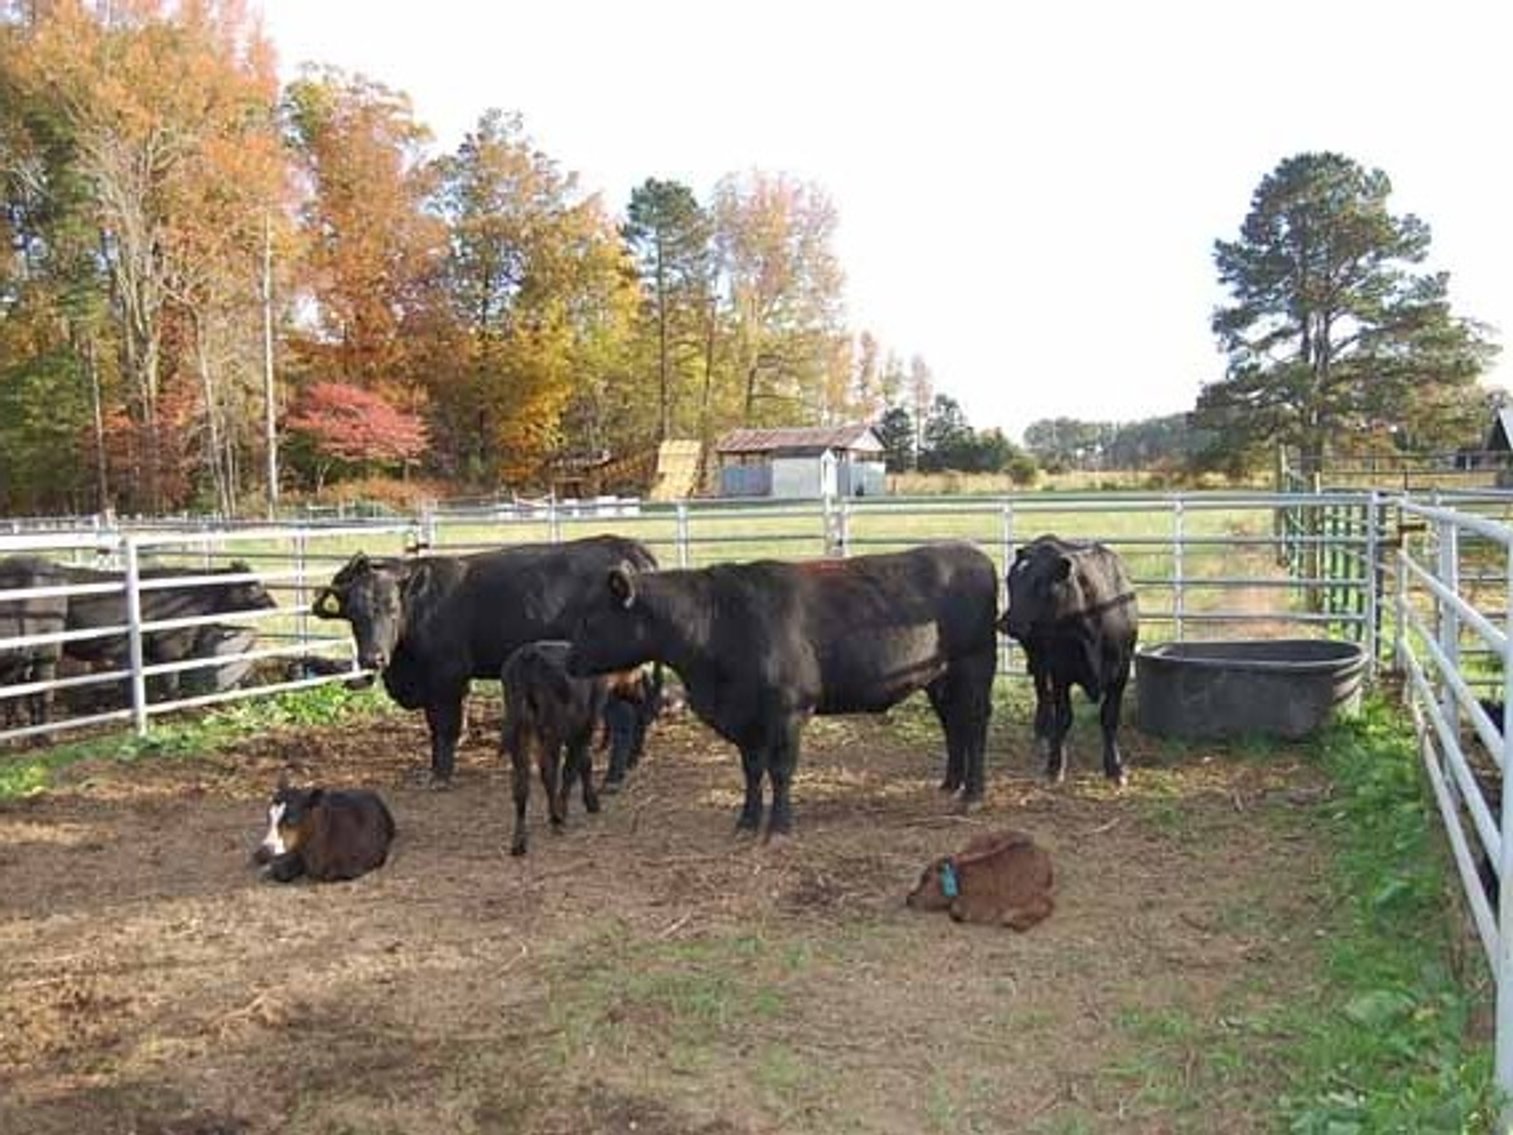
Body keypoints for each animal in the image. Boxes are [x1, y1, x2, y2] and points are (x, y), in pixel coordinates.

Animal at [311, 535, 658, 783]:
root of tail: (627, 546)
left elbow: (445, 726)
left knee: (625, 715)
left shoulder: (447, 676)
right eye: (353, 615)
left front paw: (441, 775)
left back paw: (613, 777)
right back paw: (631, 762)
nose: (373, 658)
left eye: (393, 609)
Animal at [565, 541, 999, 840]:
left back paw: (973, 794)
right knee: (954, 726)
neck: (719, 622)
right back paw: (951, 784)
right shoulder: (744, 719)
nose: (568, 661)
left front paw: (780, 826)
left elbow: (781, 770)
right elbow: (753, 771)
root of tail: (970, 552)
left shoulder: (788, 712)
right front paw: (747, 821)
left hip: (975, 667)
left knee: (975, 728)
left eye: (591, 620)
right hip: (940, 679)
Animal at [999, 535, 1138, 785]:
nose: (1006, 622)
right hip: (1036, 654)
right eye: (1010, 581)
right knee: (1041, 688)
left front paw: (1115, 767)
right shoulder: (1060, 671)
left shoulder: (1121, 671)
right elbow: (1063, 717)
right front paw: (1055, 766)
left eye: (1041, 584)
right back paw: (1043, 728)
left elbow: (1109, 717)